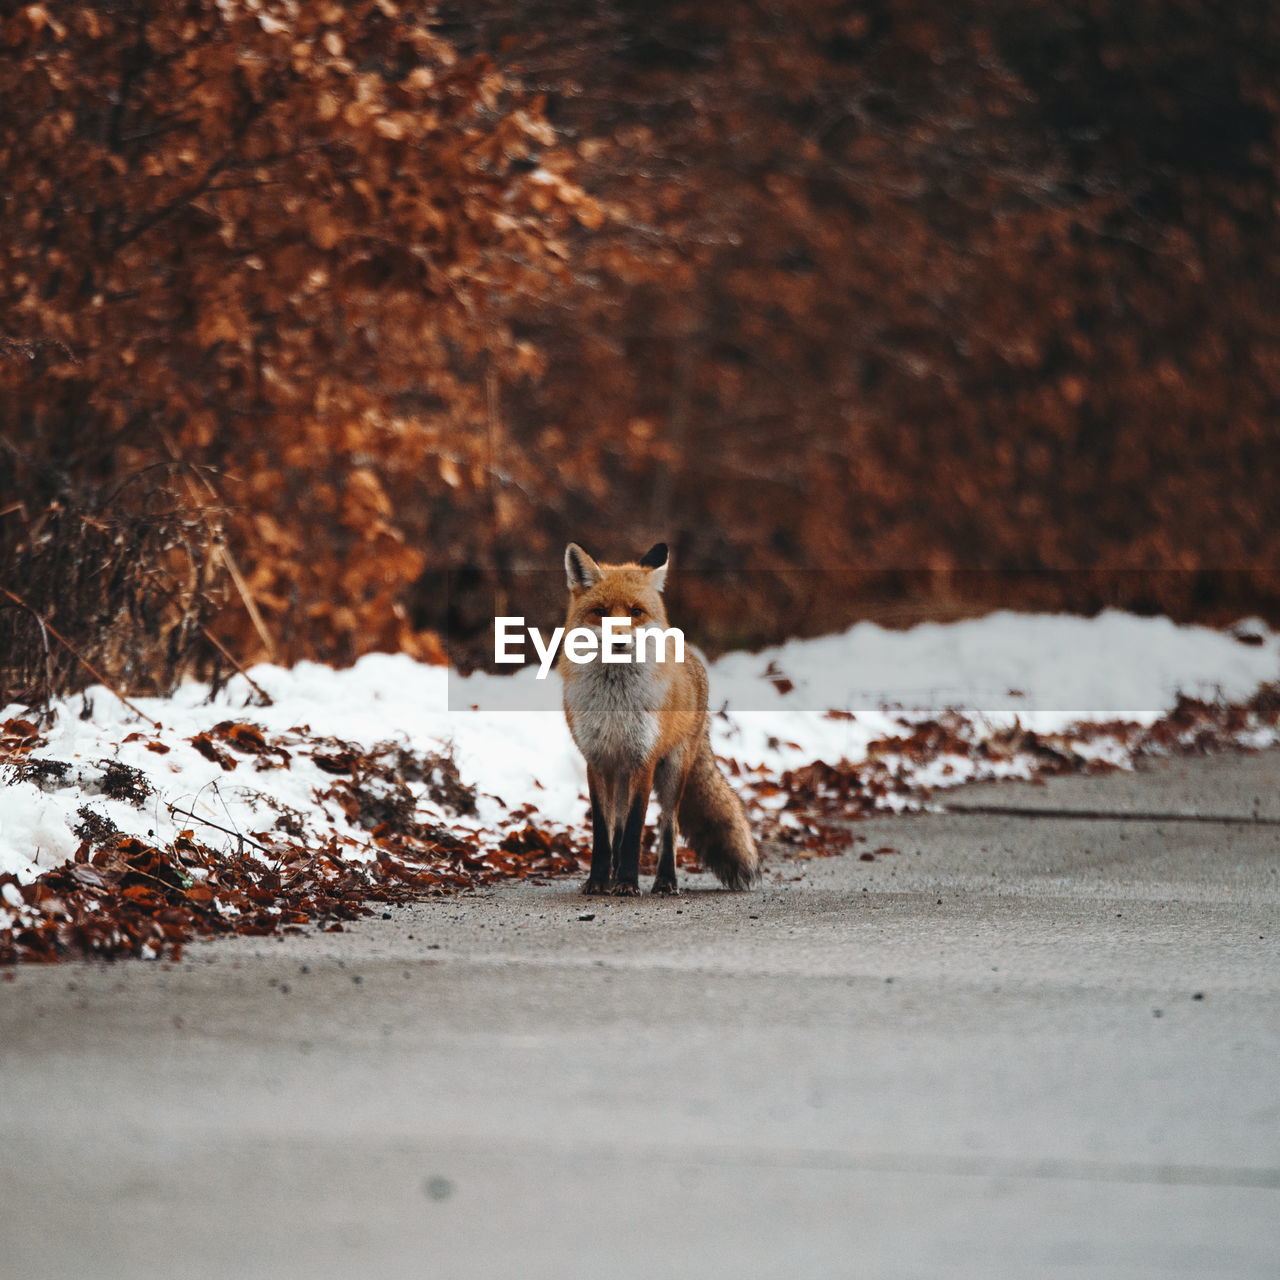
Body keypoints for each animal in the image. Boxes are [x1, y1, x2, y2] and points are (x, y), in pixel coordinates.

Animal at [560, 545, 757, 896]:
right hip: (621, 774)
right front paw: (599, 881)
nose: (619, 641)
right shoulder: (597, 760)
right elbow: (604, 833)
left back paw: (665, 880)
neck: (616, 703)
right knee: (618, 826)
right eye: (600, 611)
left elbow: (635, 830)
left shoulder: (645, 759)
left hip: (673, 770)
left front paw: (627, 882)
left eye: (636, 612)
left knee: (669, 825)